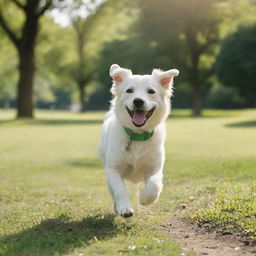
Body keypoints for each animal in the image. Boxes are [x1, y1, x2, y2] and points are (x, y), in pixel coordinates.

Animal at [99, 64, 179, 218]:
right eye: (129, 90)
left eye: (151, 91)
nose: (138, 101)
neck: (138, 136)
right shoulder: (113, 170)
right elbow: (120, 189)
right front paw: (125, 208)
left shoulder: (155, 168)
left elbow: (154, 185)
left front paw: (144, 198)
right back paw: (117, 207)